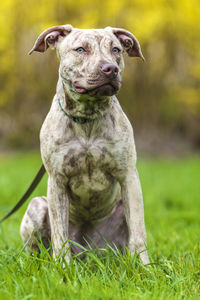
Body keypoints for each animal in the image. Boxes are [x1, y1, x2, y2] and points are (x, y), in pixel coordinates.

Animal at [19, 26, 149, 264]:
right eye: (80, 49)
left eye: (116, 49)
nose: (110, 68)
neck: (87, 118)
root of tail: (88, 252)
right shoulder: (57, 181)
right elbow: (59, 235)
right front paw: (62, 267)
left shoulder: (128, 177)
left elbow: (138, 232)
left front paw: (144, 267)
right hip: (37, 205)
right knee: (38, 248)